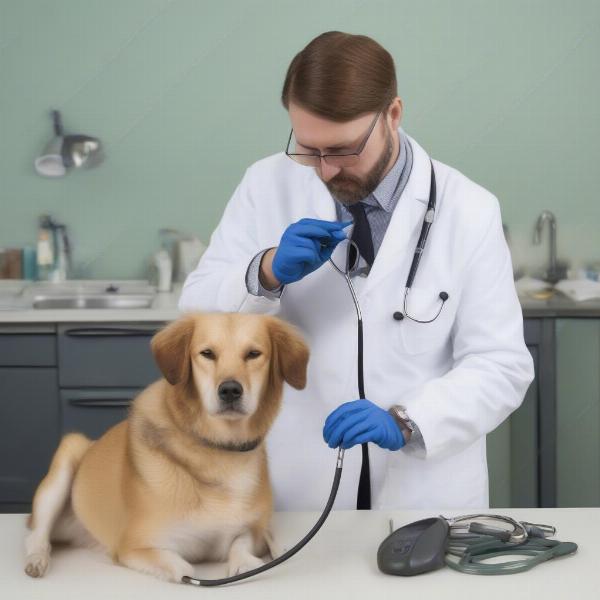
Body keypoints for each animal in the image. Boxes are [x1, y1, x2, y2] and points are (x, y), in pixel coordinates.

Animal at [24, 312, 310, 584]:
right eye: (207, 353)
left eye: (253, 354)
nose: (230, 390)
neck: (218, 448)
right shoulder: (134, 546)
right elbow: (182, 567)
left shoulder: (252, 531)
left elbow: (241, 543)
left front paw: (245, 563)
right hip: (67, 458)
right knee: (37, 533)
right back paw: (37, 558)